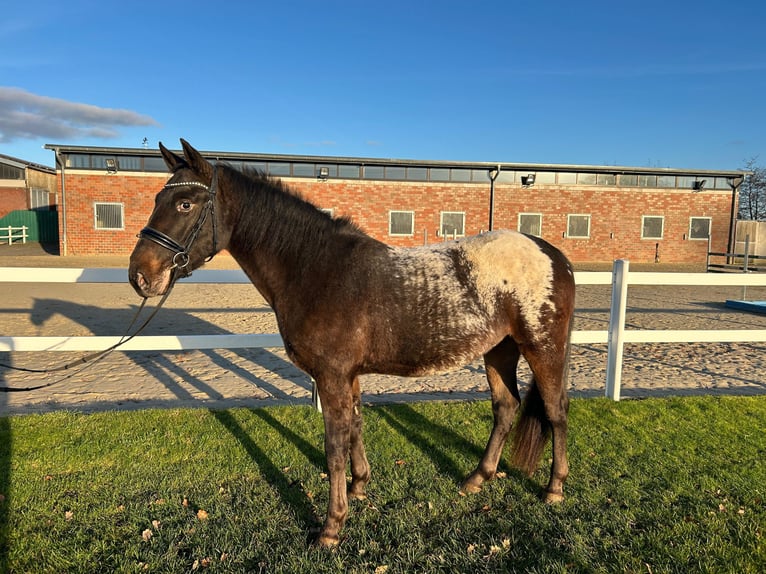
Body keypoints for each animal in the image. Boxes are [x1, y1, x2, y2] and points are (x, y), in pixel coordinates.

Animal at [129, 140, 576, 548]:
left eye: (185, 204)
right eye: (156, 199)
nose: (139, 274)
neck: (317, 269)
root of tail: (553, 254)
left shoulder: (331, 376)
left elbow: (333, 447)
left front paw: (331, 527)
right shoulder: (348, 375)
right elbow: (357, 425)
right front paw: (360, 487)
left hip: (542, 348)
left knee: (555, 410)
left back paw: (554, 488)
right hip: (499, 350)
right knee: (505, 408)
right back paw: (476, 479)